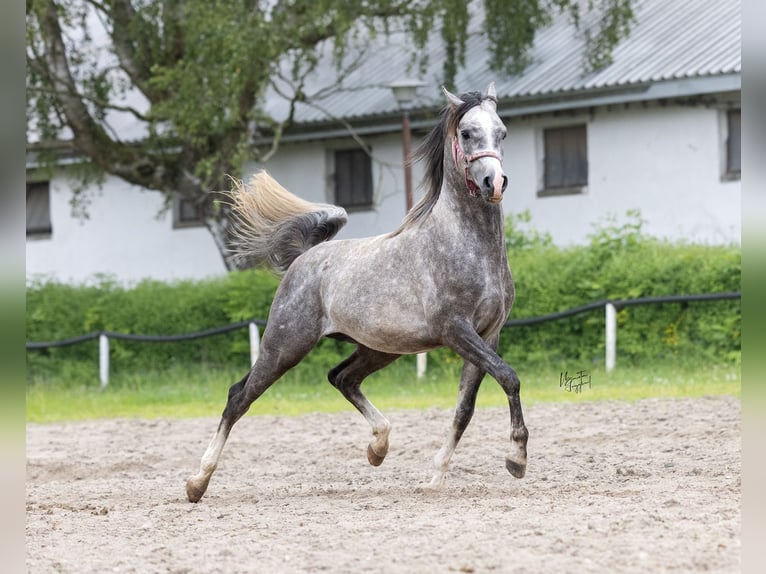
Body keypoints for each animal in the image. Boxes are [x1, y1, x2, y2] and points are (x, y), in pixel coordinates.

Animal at [186, 82, 529, 503]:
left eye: (502, 132)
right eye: (466, 133)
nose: (493, 184)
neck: (465, 246)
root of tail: (305, 258)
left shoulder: (487, 335)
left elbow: (466, 408)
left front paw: (435, 478)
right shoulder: (456, 331)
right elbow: (509, 377)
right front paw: (516, 458)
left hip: (378, 348)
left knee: (341, 378)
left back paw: (378, 447)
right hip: (284, 346)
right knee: (239, 396)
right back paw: (197, 482)